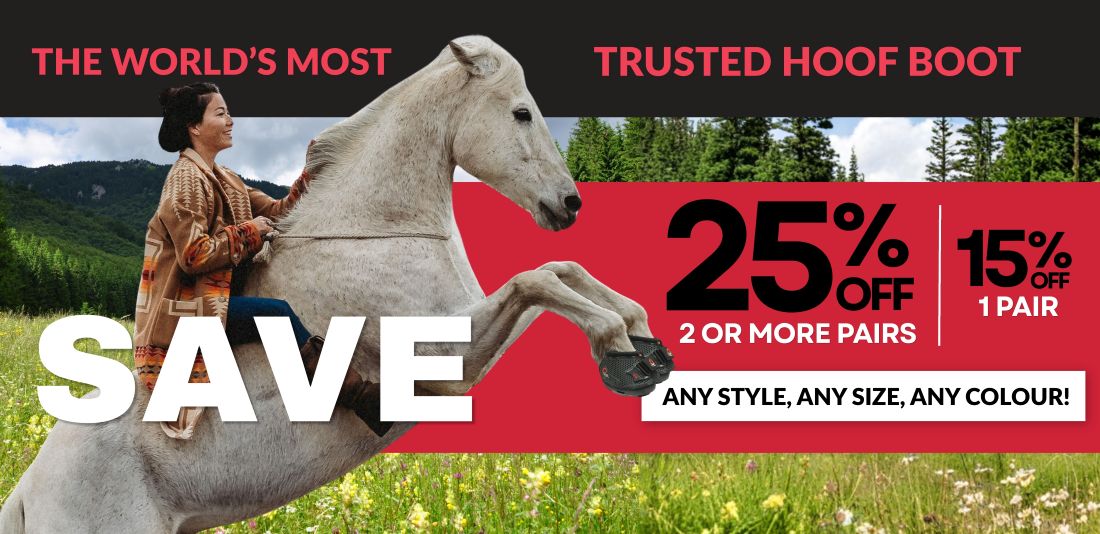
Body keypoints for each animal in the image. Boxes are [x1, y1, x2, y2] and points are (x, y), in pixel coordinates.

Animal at [0, 35, 656, 533]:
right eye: (521, 112)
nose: (568, 205)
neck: (373, 232)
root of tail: (28, 493)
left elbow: (559, 271)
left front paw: (645, 341)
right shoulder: (449, 358)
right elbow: (535, 279)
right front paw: (620, 354)